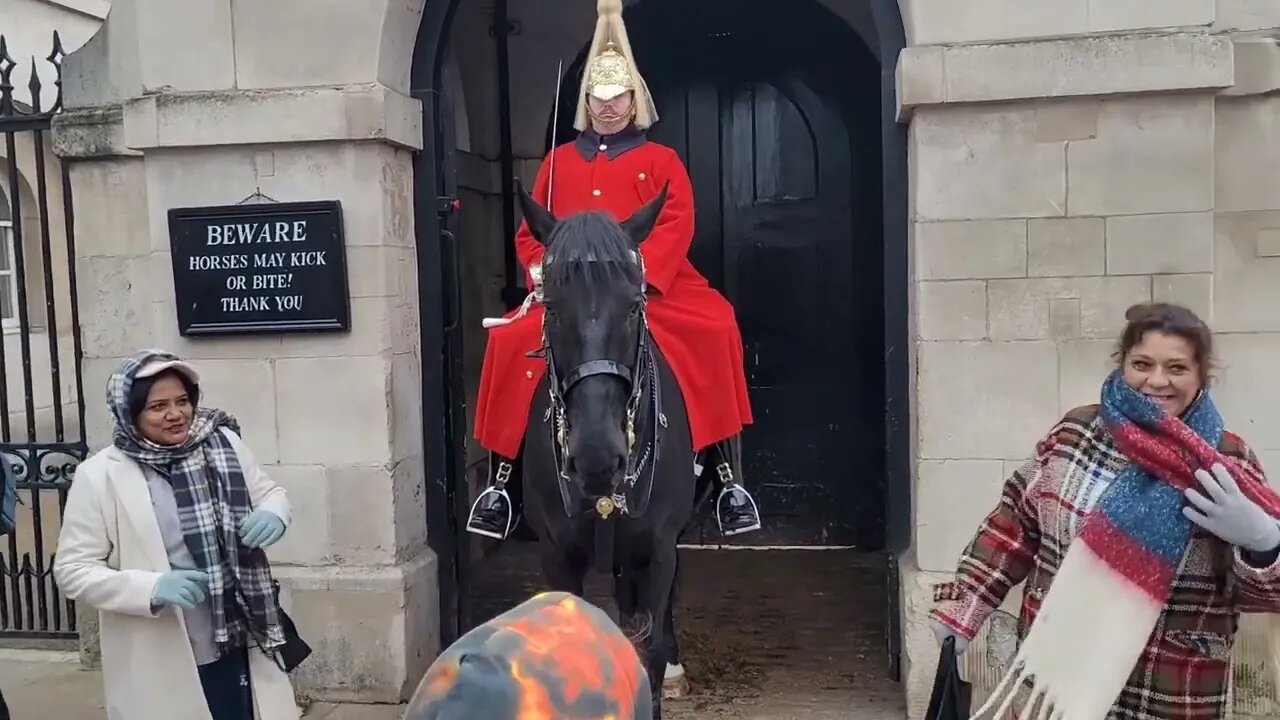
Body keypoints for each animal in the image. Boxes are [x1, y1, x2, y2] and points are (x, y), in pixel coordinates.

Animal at [514, 180, 696, 712]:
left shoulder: (658, 550)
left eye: (635, 304)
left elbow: (649, 650)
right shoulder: (557, 555)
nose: (596, 458)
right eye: (551, 306)